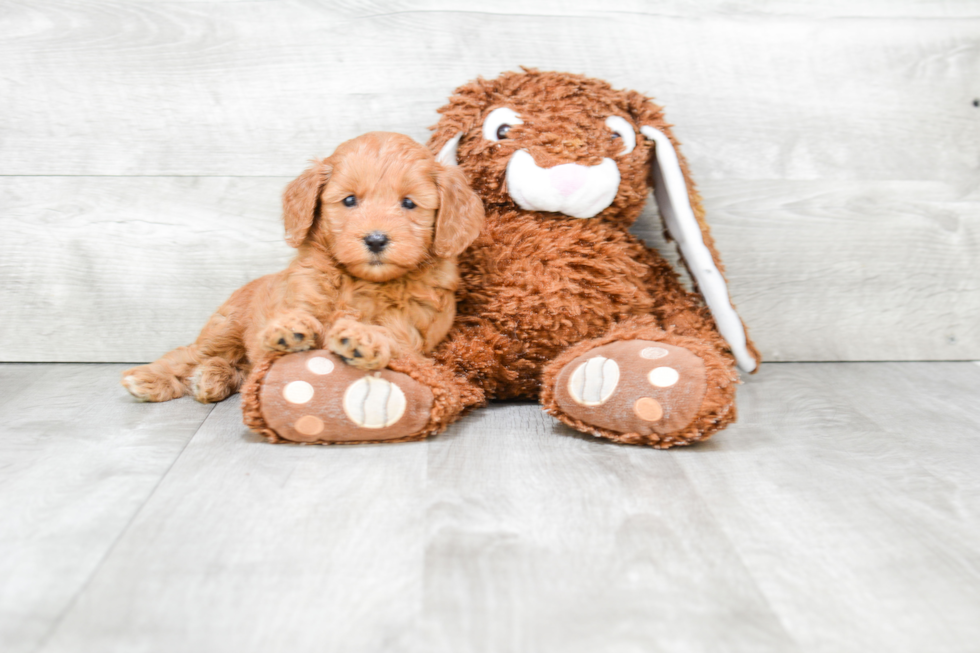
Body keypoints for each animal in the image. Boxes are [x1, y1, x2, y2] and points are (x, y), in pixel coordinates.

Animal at [122, 132, 486, 440]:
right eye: (349, 201)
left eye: (409, 203)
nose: (376, 239)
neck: (362, 282)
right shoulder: (298, 299)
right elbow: (291, 326)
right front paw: (291, 330)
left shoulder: (413, 334)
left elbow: (391, 340)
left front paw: (361, 338)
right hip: (224, 328)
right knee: (189, 355)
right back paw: (151, 378)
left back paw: (211, 379)